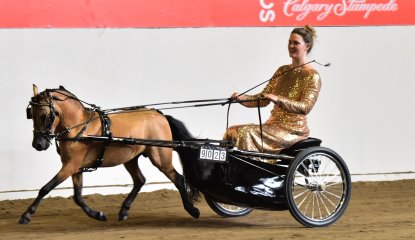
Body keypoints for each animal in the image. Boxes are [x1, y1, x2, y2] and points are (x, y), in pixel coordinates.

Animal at [19, 85, 200, 224]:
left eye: (44, 116)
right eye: (30, 114)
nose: (38, 145)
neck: (80, 127)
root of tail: (160, 115)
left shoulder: (70, 166)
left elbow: (46, 188)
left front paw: (26, 215)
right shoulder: (75, 167)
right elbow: (77, 197)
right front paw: (98, 215)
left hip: (160, 158)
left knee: (178, 179)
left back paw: (192, 210)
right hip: (130, 159)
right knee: (140, 180)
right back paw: (124, 211)